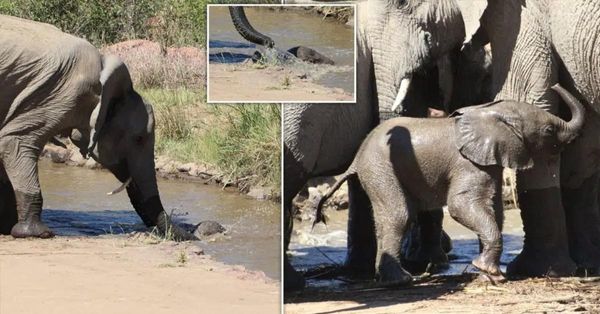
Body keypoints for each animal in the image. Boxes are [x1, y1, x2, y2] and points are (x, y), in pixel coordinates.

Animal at [0, 15, 196, 240]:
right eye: (139, 138)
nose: (195, 233)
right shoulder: (54, 94)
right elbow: (15, 141)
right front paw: (37, 233)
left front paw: (6, 228)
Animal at [316, 85, 584, 284]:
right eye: (548, 130)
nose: (555, 85)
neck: (491, 114)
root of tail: (357, 156)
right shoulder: (468, 163)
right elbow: (460, 206)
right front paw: (489, 272)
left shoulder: (488, 161)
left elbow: (495, 209)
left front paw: (492, 274)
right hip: (380, 168)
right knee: (399, 214)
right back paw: (402, 280)